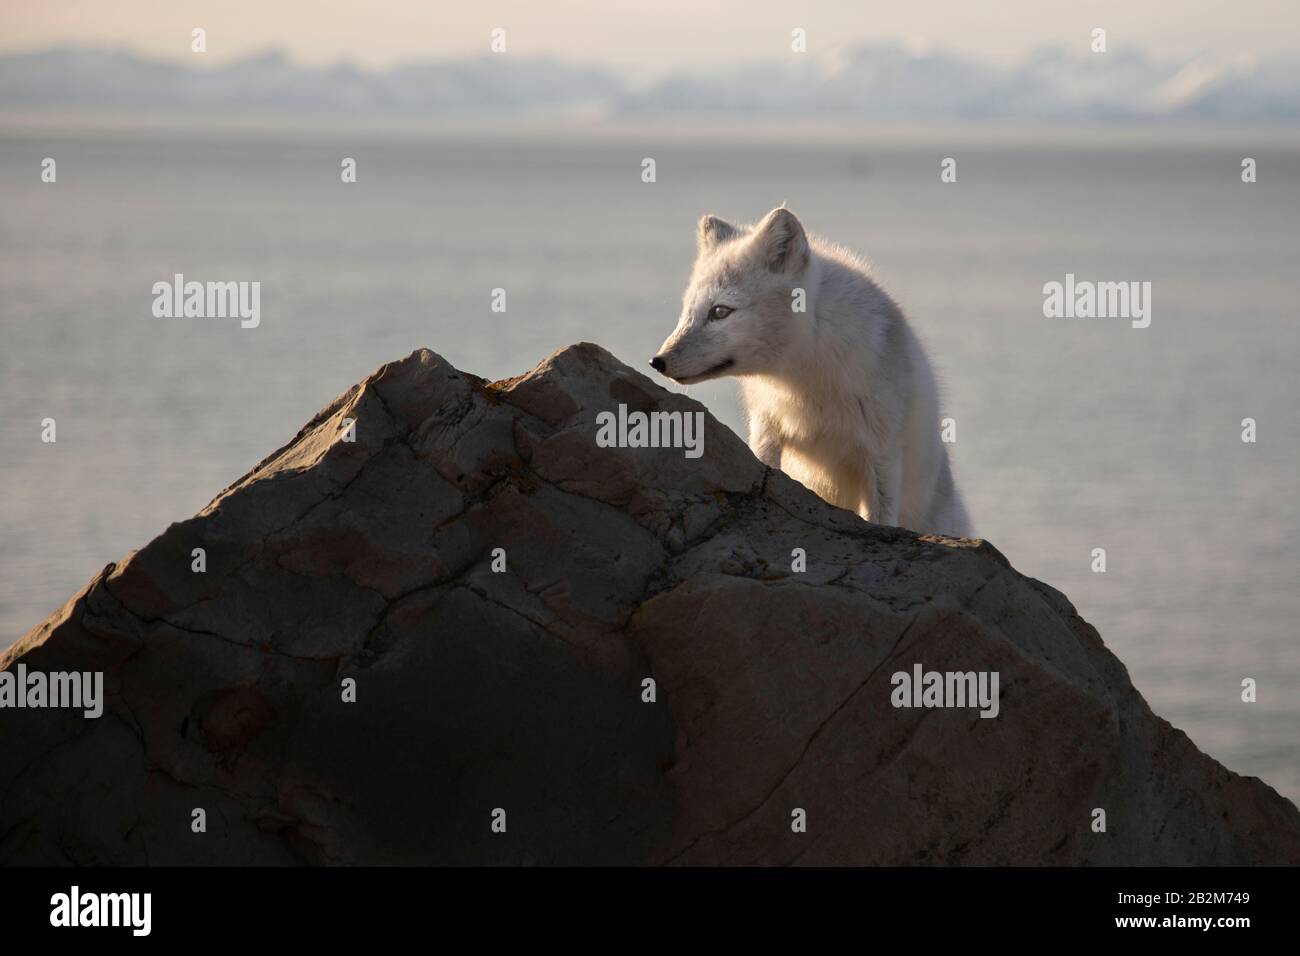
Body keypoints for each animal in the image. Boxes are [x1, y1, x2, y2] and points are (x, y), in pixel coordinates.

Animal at [650, 208, 967, 538]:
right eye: (687, 310)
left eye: (720, 312)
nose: (657, 362)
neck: (804, 380)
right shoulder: (767, 427)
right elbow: (767, 466)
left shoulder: (881, 452)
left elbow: (879, 516)